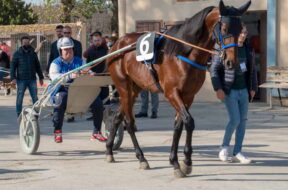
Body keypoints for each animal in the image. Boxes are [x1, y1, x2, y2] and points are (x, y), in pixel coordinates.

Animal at [107, 0, 251, 177]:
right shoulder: (172, 93)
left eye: (240, 30)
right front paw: (183, 162)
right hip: (124, 87)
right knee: (128, 122)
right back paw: (141, 158)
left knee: (117, 117)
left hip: (135, 89)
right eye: (224, 28)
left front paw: (179, 161)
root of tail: (116, 45)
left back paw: (109, 150)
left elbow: (178, 125)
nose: (231, 62)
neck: (182, 53)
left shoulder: (188, 95)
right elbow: (189, 122)